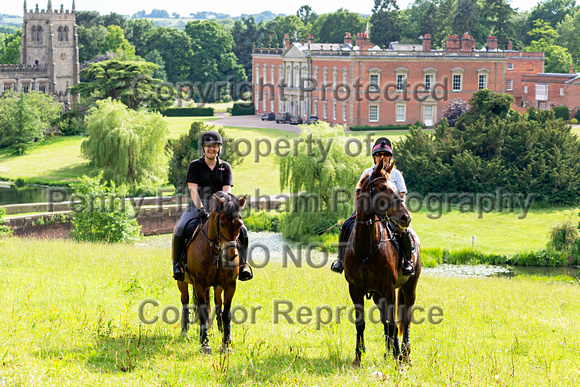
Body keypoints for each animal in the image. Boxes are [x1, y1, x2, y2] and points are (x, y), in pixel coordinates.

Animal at [174, 192, 247, 354]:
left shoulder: (230, 285)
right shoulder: (200, 284)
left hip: (217, 286)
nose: (231, 256)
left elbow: (226, 313)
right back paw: (184, 331)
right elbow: (202, 313)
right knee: (185, 301)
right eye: (222, 224)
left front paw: (226, 343)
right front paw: (205, 344)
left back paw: (220, 329)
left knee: (218, 302)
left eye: (240, 224)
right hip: (182, 281)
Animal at [344, 158, 422, 366]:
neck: (366, 249)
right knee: (386, 322)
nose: (406, 217)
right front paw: (358, 357)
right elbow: (361, 323)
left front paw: (398, 358)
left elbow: (394, 324)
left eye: (394, 187)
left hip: (408, 288)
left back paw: (405, 354)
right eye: (381, 187)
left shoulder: (388, 289)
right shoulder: (355, 290)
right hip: (378, 295)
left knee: (405, 319)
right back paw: (389, 353)